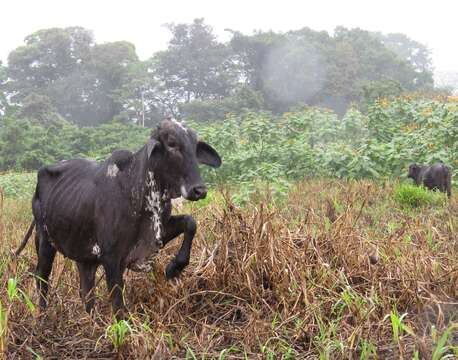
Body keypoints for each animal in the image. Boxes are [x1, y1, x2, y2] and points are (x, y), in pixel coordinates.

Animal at [15, 119, 221, 316]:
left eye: (194, 145)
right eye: (171, 143)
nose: (199, 190)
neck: (137, 188)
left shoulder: (158, 232)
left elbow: (190, 223)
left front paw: (174, 267)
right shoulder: (111, 257)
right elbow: (117, 304)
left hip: (85, 257)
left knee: (86, 291)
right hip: (45, 241)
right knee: (42, 277)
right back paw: (42, 315)